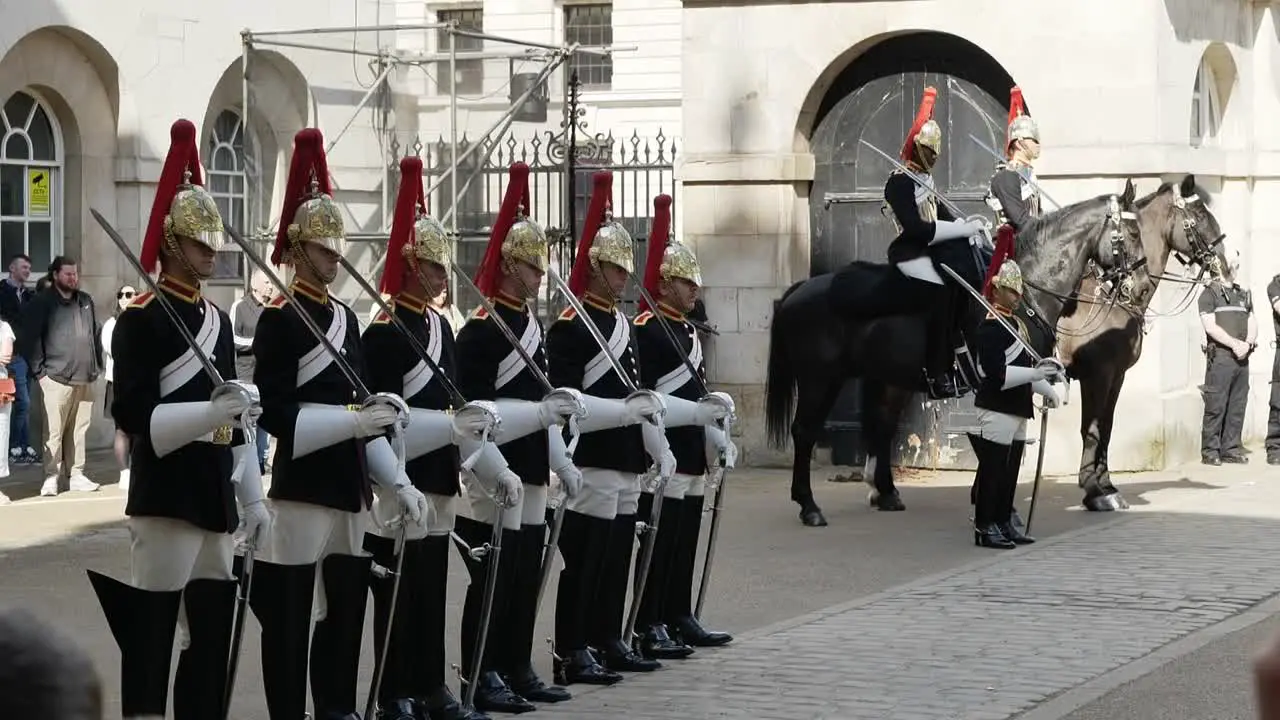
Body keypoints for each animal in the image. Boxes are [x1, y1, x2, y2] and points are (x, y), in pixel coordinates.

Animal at [762, 179, 1146, 527]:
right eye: (1131, 232)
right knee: (805, 431)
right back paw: (809, 506)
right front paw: (996, 506)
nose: (1139, 287)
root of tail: (797, 290)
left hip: (886, 378)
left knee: (881, 424)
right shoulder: (1003, 376)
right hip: (820, 380)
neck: (1023, 288)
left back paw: (885, 493)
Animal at [1059, 174, 1228, 509]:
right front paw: (1093, 489)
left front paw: (1105, 484)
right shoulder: (1097, 375)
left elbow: (1106, 426)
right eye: (1200, 216)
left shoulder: (1116, 376)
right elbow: (1092, 428)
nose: (1227, 265)